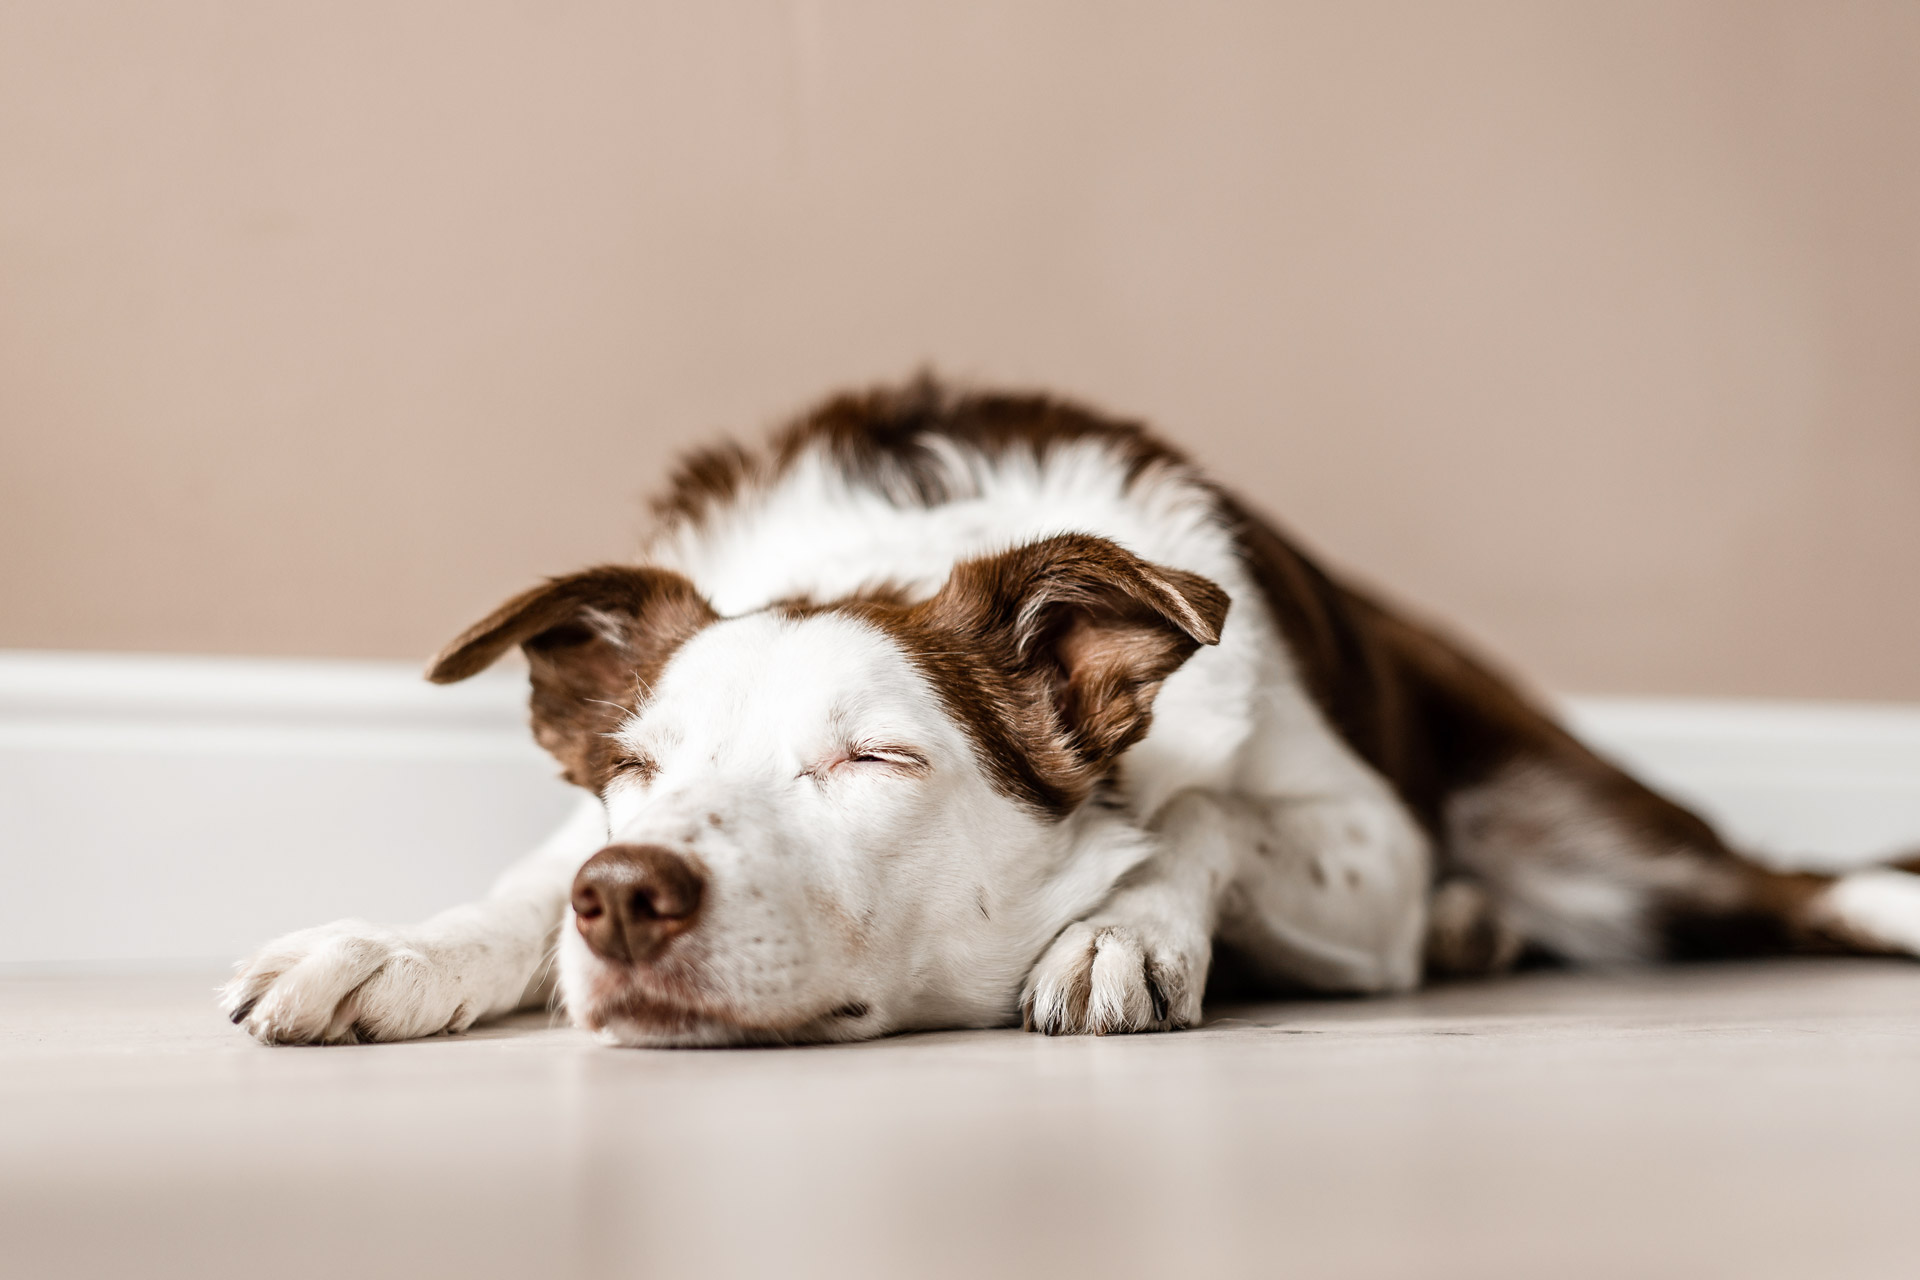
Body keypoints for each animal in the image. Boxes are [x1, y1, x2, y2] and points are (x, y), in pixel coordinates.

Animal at [217, 379, 1920, 1051]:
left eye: (874, 757)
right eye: (631, 773)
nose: (625, 897)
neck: (893, 549)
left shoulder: (1361, 841)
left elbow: (1203, 805)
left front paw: (1123, 928)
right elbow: (511, 889)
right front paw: (394, 950)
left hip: (1587, 827)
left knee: (1791, 882)